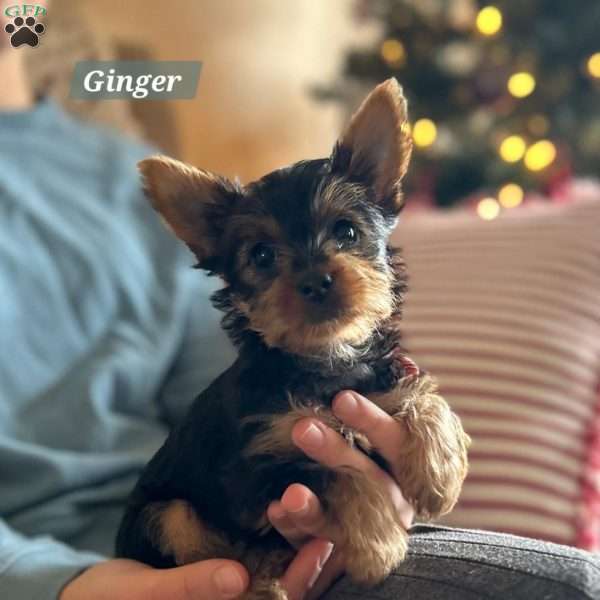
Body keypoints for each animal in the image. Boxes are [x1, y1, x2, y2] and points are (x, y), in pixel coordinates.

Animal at [116, 79, 468, 600]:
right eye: (262, 256)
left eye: (347, 231)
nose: (316, 281)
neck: (325, 361)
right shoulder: (254, 472)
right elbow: (332, 470)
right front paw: (378, 548)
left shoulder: (379, 384)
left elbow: (423, 392)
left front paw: (440, 472)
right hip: (162, 514)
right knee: (196, 536)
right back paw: (260, 579)